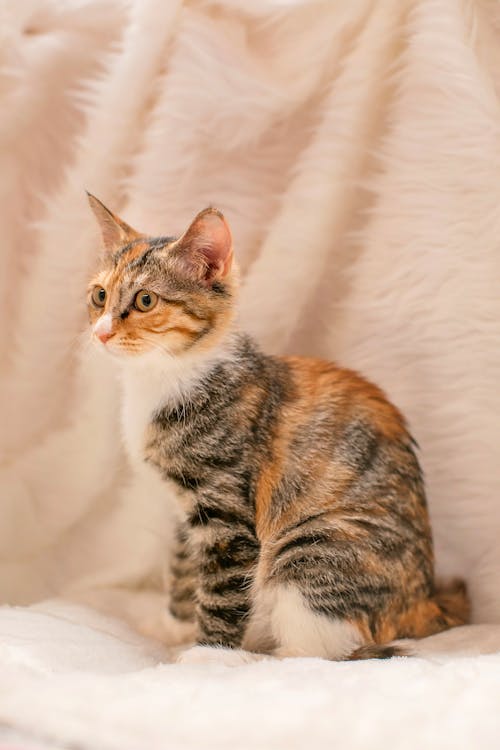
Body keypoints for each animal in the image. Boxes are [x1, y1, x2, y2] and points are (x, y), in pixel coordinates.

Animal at [85, 194, 468, 664]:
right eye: (100, 295)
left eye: (144, 300)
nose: (101, 332)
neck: (165, 377)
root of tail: (425, 602)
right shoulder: (183, 511)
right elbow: (183, 566)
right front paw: (173, 625)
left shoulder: (227, 512)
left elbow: (222, 589)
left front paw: (205, 654)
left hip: (316, 547)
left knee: (319, 651)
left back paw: (267, 656)